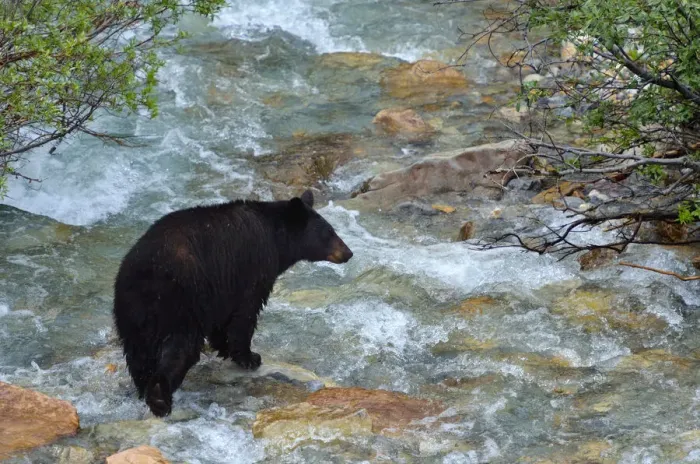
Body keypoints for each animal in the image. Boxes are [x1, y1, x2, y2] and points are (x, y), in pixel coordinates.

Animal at [112, 190, 353, 417]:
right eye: (329, 232)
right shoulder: (250, 269)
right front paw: (249, 357)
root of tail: (143, 279)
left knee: (138, 356)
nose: (349, 253)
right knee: (180, 349)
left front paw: (225, 347)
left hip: (131, 316)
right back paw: (160, 399)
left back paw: (144, 388)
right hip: (179, 304)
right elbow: (245, 313)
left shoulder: (220, 290)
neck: (275, 237)